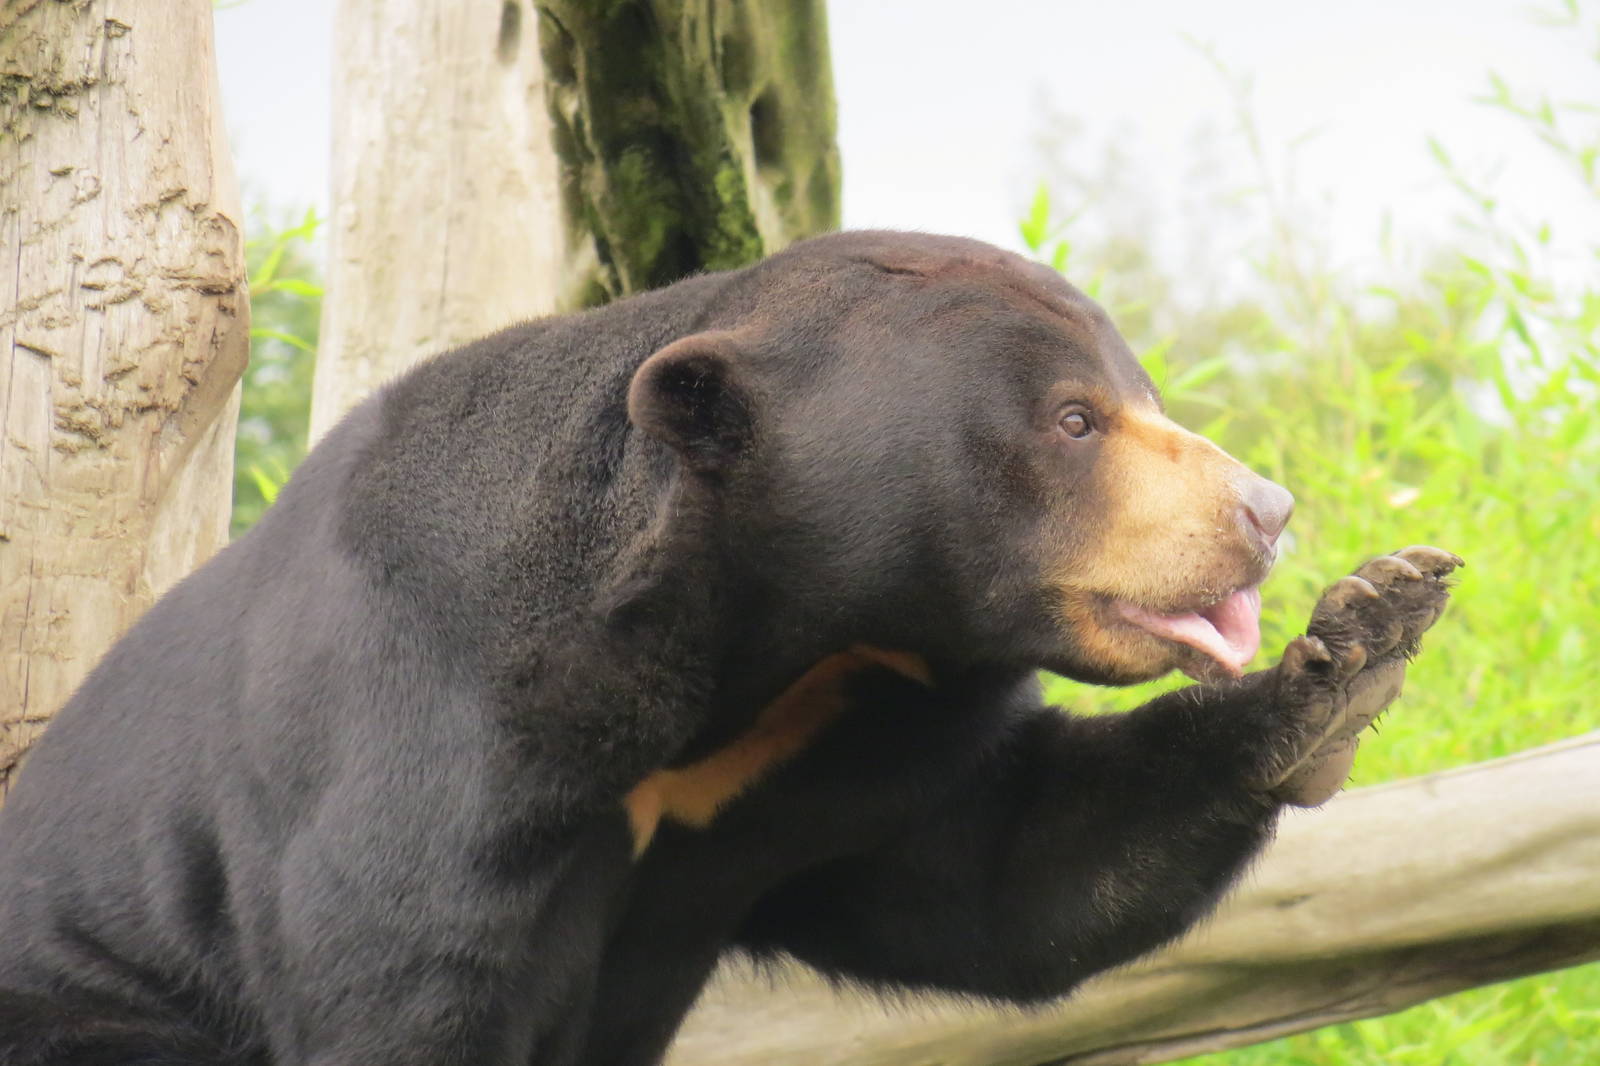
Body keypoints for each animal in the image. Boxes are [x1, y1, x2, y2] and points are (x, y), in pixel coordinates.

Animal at [0, 231, 1458, 1066]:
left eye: (1138, 392)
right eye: (1072, 419)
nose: (1263, 509)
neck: (773, 646)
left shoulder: (825, 774)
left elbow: (1015, 877)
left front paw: (1362, 638)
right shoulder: (430, 731)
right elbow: (403, 981)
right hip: (102, 1003)